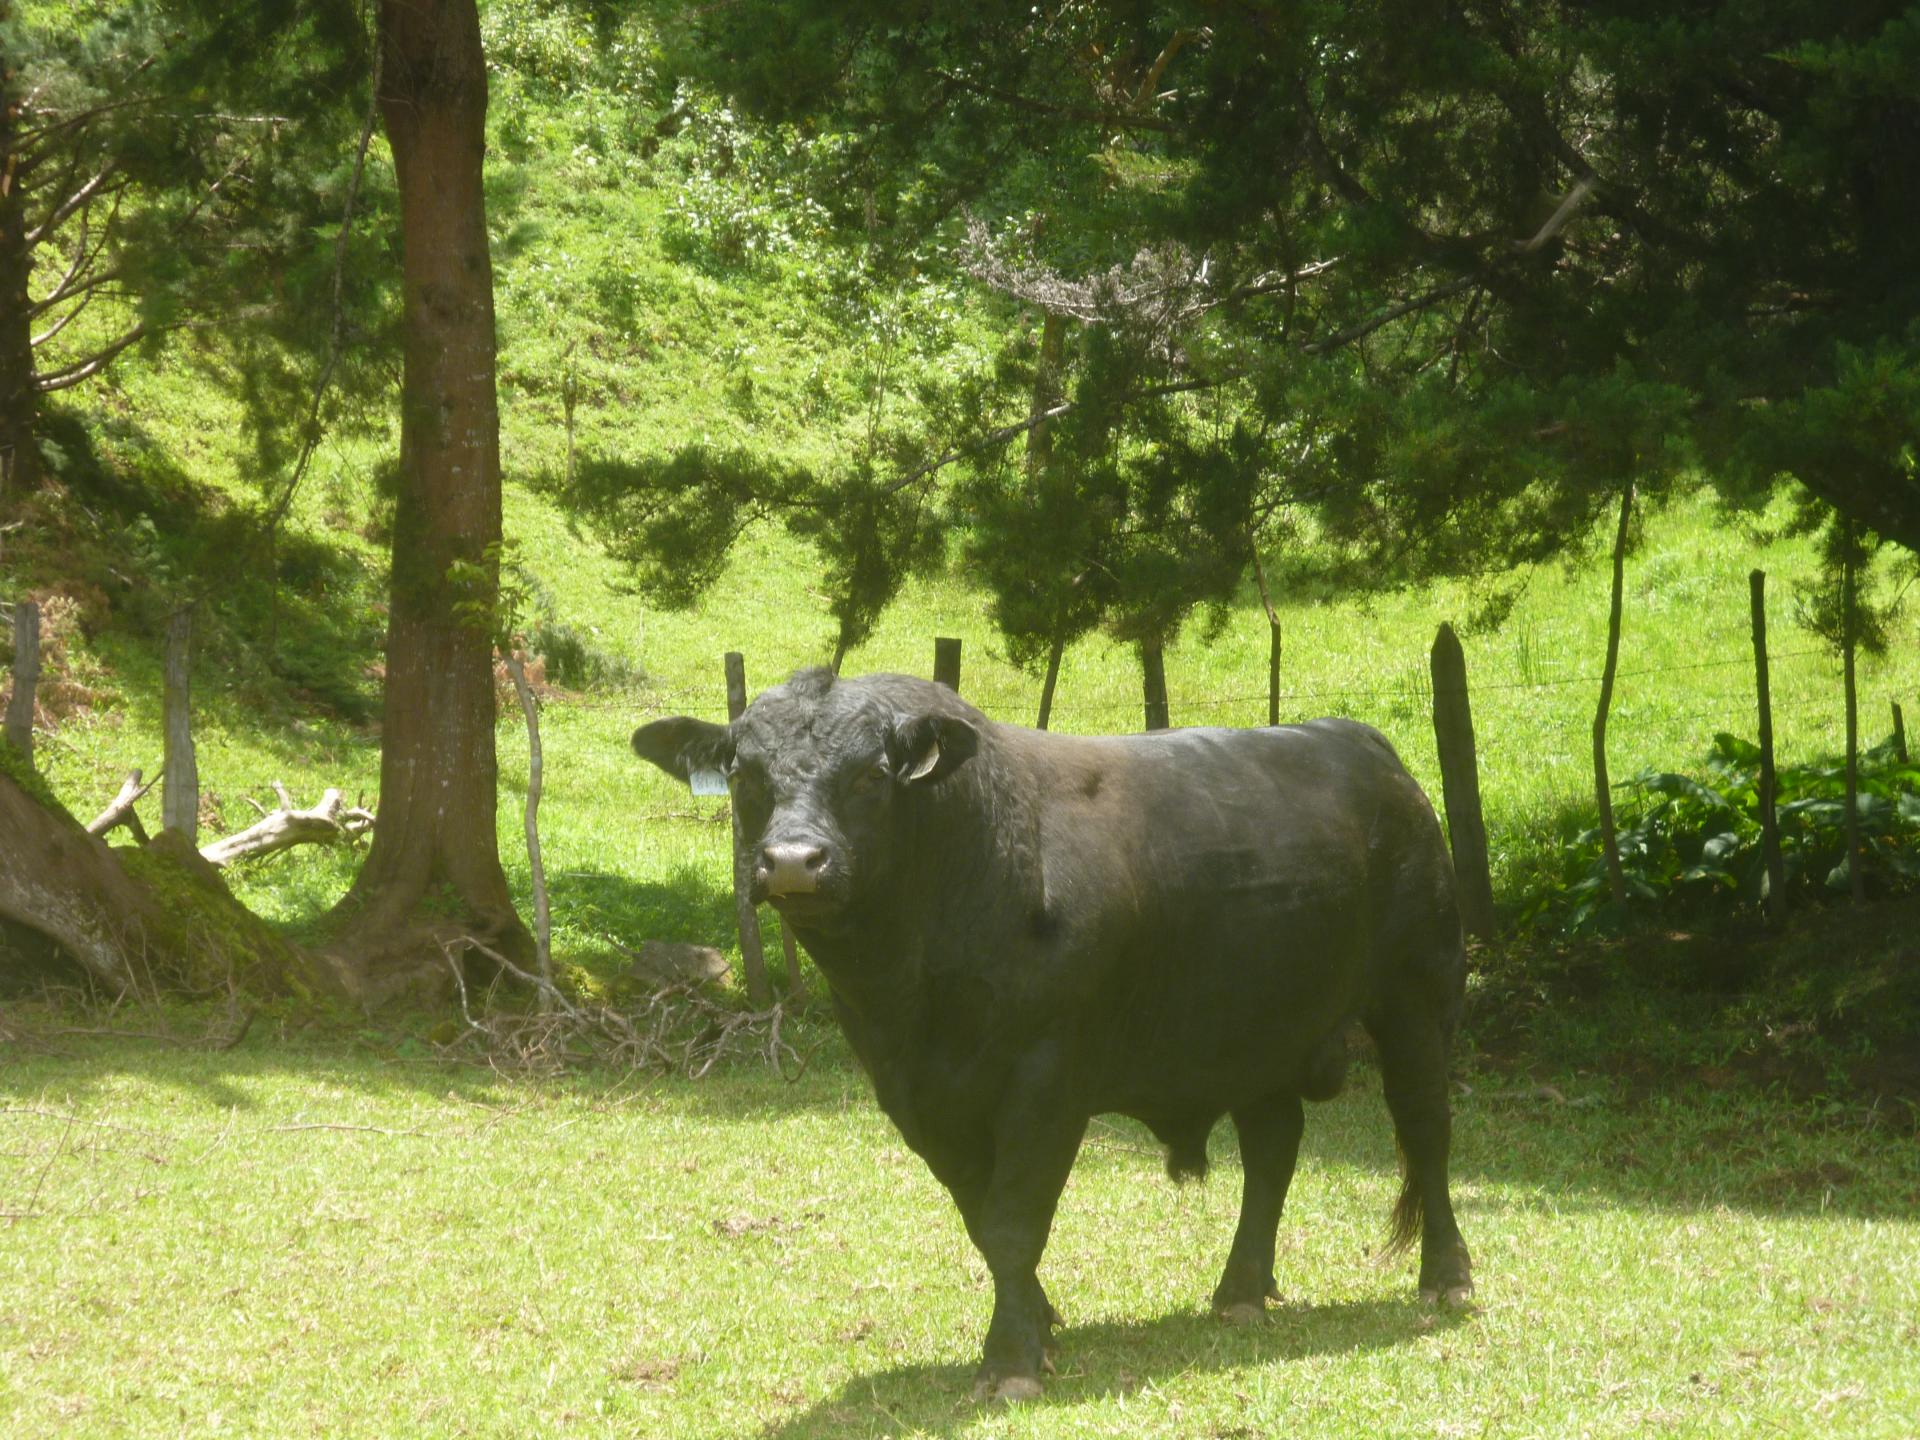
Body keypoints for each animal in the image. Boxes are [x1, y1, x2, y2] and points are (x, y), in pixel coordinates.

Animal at [637, 672, 1474, 1405]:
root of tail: (1364, 747)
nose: (792, 863)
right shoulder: (916, 1097)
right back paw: (1240, 1290)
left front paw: (1009, 1361)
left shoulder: (1045, 1083)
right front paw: (1038, 1328)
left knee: (1426, 1128)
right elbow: (983, 1223)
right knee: (1273, 1148)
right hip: (1254, 1031)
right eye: (744, 774)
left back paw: (1447, 1278)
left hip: (1416, 995)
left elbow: (1014, 1224)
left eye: (871, 776)